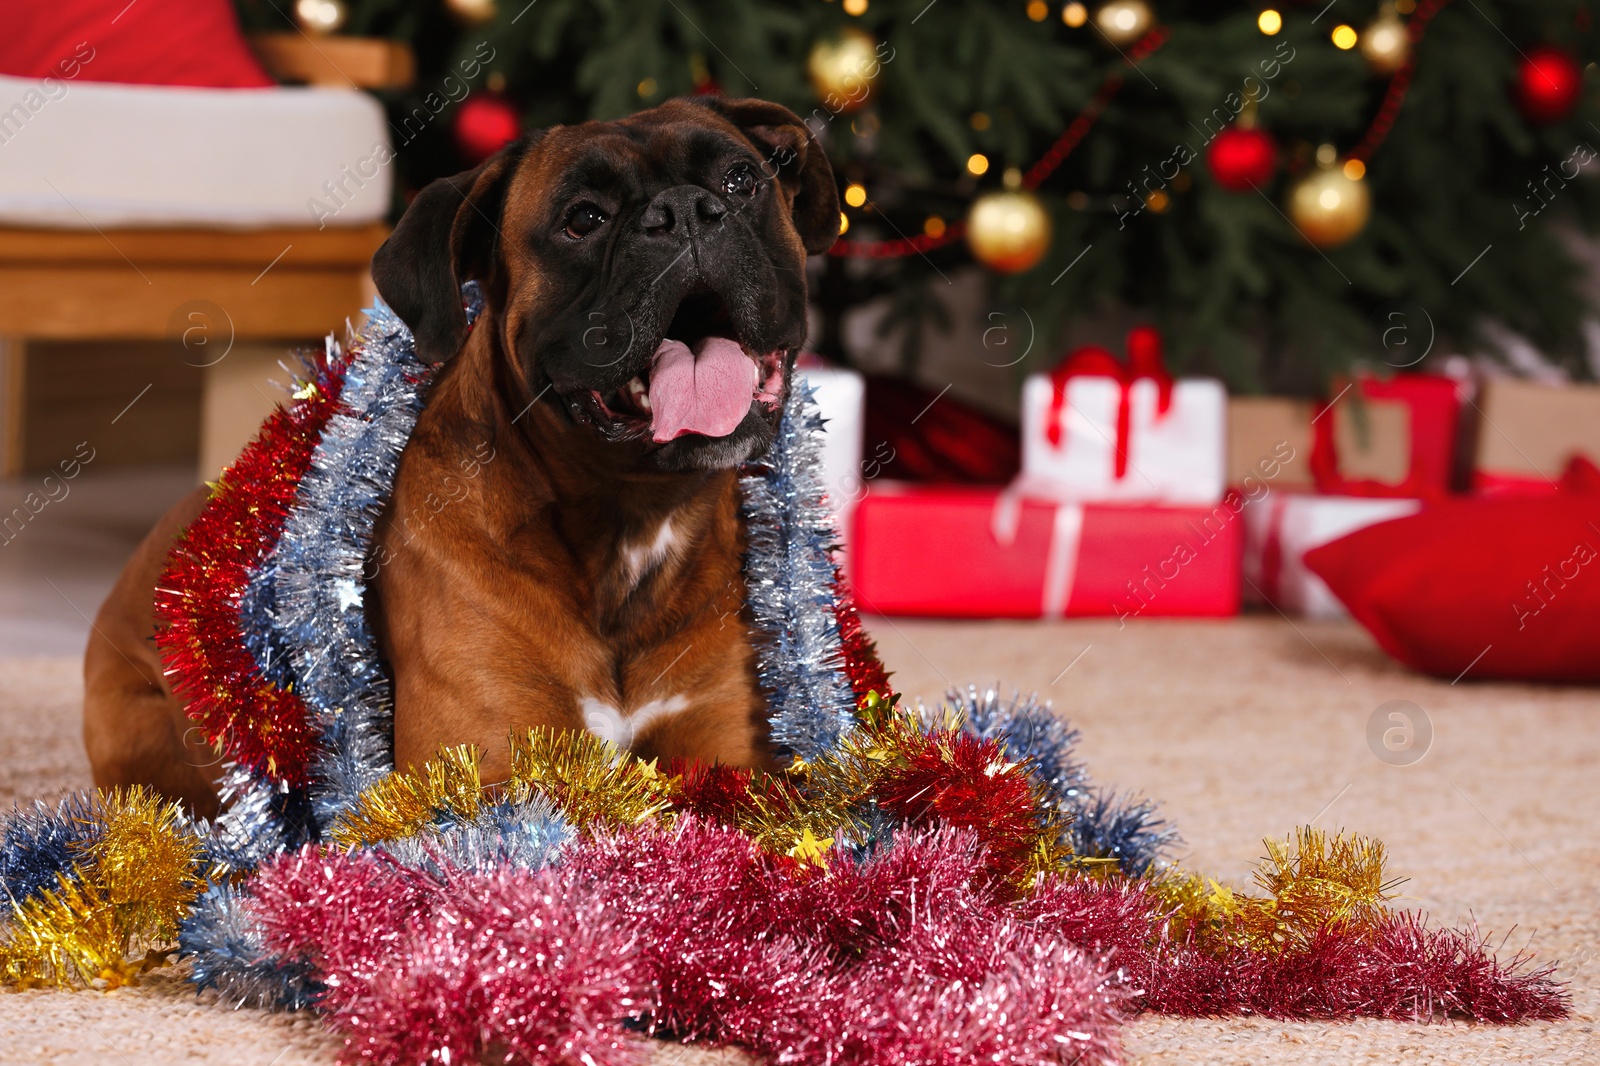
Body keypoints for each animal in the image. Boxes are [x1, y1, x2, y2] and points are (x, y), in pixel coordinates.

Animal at [84, 99, 838, 813]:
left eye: (740, 180)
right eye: (583, 219)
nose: (685, 212)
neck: (631, 519)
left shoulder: (728, 763)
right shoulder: (487, 776)